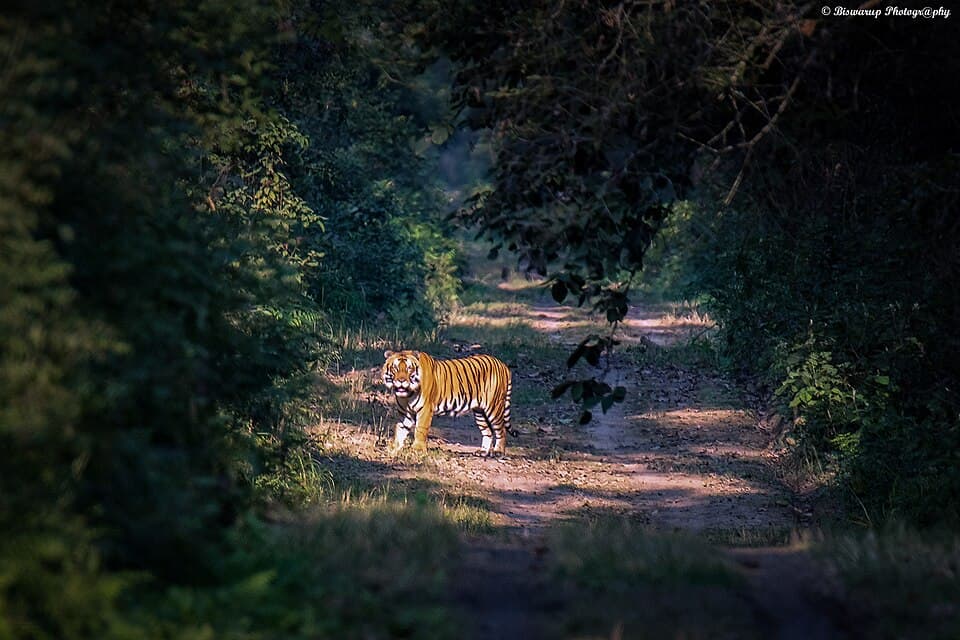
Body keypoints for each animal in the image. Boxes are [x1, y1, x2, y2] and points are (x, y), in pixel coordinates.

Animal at [382, 350, 513, 457]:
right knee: (488, 431)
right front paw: (394, 449)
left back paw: (498, 451)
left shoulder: (425, 409)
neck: (408, 395)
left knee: (501, 430)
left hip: (494, 407)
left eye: (409, 368)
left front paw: (417, 449)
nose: (401, 381)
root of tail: (503, 365)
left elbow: (420, 429)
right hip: (480, 412)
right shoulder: (405, 413)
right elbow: (400, 430)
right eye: (395, 368)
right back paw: (483, 452)